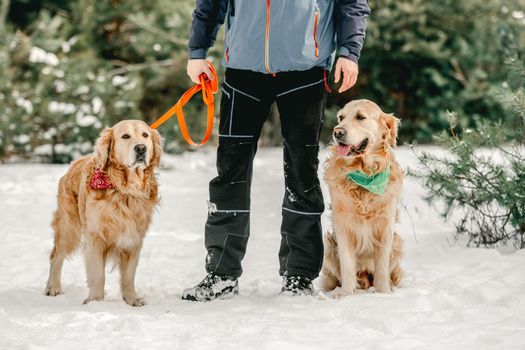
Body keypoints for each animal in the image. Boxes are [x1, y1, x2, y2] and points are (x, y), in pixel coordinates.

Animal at [44, 120, 161, 306]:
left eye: (145, 135)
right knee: (56, 255)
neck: (124, 190)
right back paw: (53, 287)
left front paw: (132, 299)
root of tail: (74, 162)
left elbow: (129, 275)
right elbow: (98, 274)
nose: (141, 148)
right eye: (125, 136)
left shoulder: (134, 238)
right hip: (69, 227)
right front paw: (95, 301)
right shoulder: (95, 237)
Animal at [320, 99, 402, 298]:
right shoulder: (343, 225)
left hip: (397, 242)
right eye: (340, 118)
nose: (337, 132)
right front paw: (345, 295)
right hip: (329, 245)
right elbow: (347, 265)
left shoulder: (385, 226)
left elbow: (382, 267)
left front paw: (384, 293)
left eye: (360, 117)